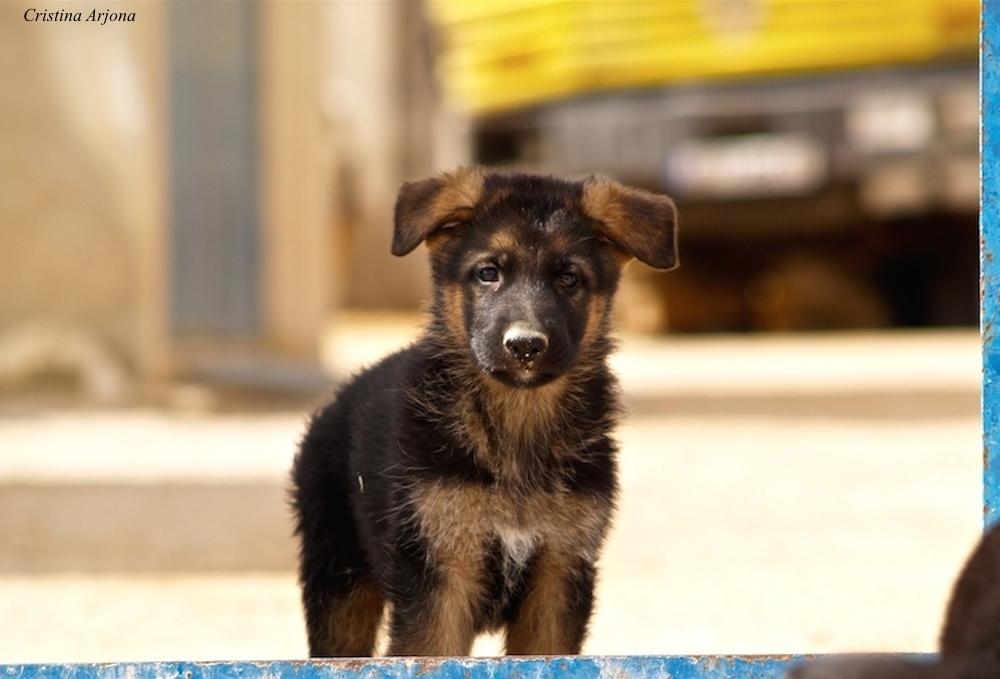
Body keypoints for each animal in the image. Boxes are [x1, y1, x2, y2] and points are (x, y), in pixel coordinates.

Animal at [292, 167, 680, 656]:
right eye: (488, 273)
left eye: (569, 278)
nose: (526, 346)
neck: (514, 425)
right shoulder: (440, 573)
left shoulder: (558, 571)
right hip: (339, 584)